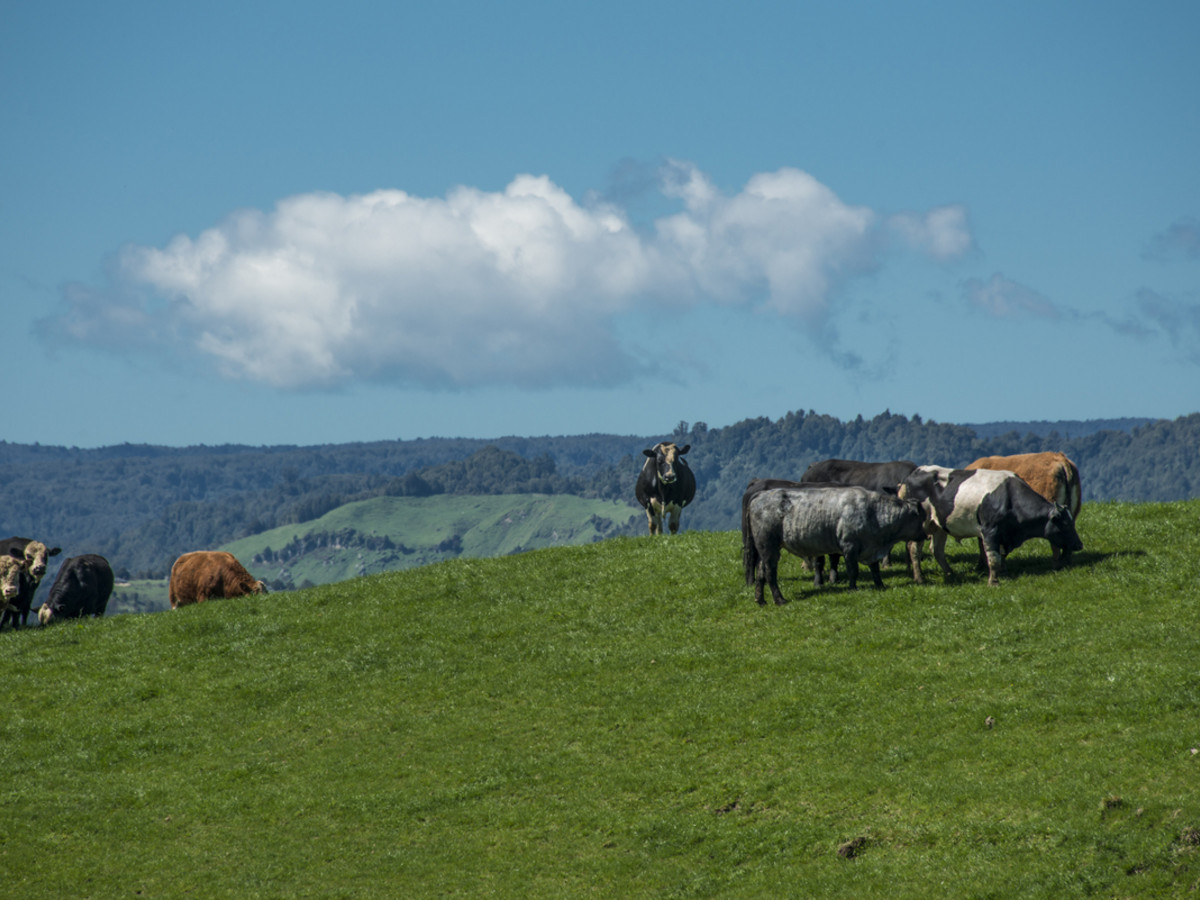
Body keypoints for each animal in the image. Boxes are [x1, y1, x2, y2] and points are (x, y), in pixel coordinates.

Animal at [739, 487, 926, 607]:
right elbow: (853, 570)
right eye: (921, 518)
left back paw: (760, 600)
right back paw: (779, 600)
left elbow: (875, 569)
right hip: (768, 546)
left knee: (761, 572)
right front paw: (853, 588)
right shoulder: (849, 545)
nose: (925, 535)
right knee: (770, 573)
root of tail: (761, 494)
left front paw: (880, 585)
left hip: (765, 547)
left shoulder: (870, 547)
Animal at [897, 465, 1084, 585]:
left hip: (939, 525)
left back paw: (950, 574)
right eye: (1065, 524)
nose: (1079, 545)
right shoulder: (990, 531)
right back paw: (919, 578)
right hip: (922, 525)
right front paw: (993, 581)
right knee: (914, 549)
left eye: (1072, 522)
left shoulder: (1004, 534)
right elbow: (993, 557)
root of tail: (913, 473)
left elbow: (1001, 556)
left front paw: (1005, 574)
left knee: (936, 550)